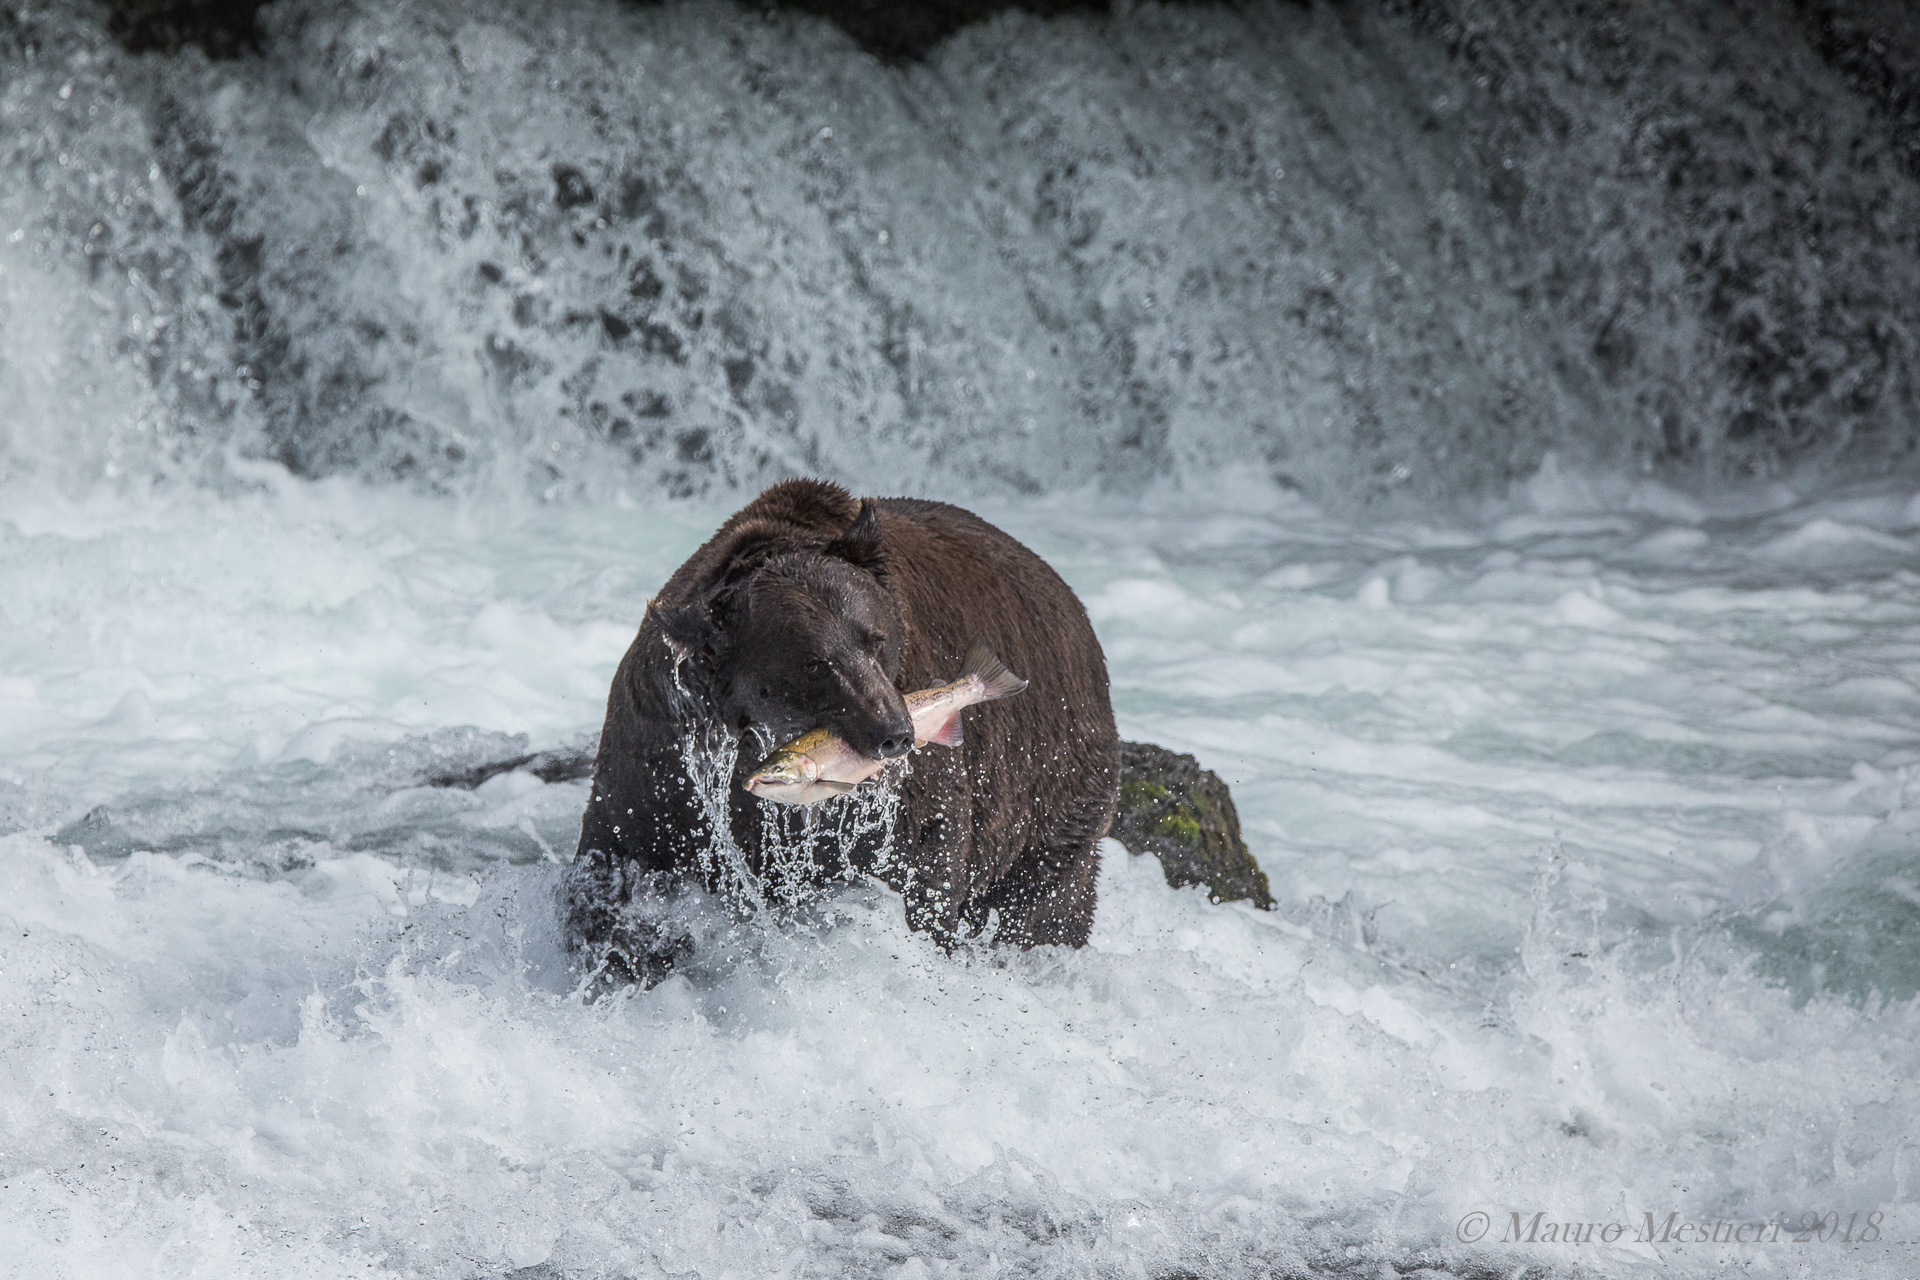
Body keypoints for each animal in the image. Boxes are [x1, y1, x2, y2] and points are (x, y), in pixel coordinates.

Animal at [561, 478, 1120, 982]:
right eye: (814, 663)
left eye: (875, 638)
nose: (895, 732)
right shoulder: (666, 750)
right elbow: (621, 852)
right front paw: (627, 950)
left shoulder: (900, 788)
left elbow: (921, 855)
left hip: (1050, 780)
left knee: (1044, 902)